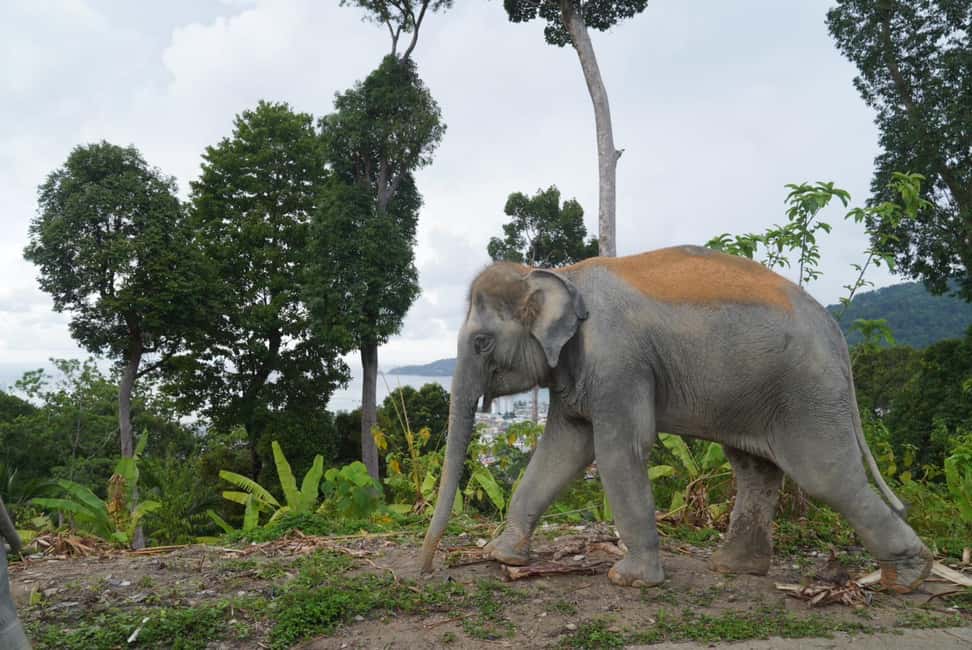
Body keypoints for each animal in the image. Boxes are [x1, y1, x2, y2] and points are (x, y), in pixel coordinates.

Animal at [420, 245, 932, 592]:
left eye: (482, 342)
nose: (428, 568)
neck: (560, 274)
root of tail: (837, 333)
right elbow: (563, 449)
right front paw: (501, 555)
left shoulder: (617, 361)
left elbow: (619, 449)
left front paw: (630, 579)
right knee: (755, 468)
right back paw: (734, 567)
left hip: (809, 392)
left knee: (825, 475)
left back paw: (908, 576)